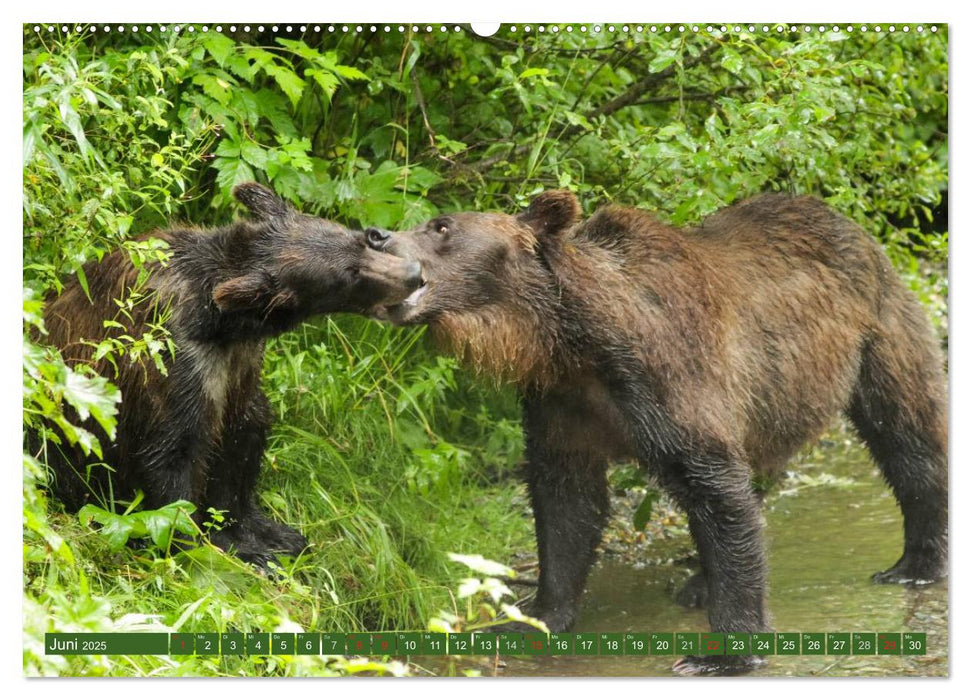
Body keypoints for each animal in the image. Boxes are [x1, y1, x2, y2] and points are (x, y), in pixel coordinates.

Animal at [33, 182, 422, 568]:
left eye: (364, 238)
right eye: (346, 276)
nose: (415, 273)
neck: (224, 324)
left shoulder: (241, 364)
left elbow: (242, 439)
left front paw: (268, 534)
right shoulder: (173, 358)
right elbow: (173, 458)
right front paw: (206, 547)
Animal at [366, 191, 948, 672]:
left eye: (442, 225)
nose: (376, 234)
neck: (575, 340)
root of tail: (843, 219)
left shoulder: (669, 380)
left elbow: (713, 488)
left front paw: (722, 655)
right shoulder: (559, 404)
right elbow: (565, 504)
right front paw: (532, 618)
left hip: (875, 333)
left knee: (907, 434)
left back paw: (915, 563)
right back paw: (698, 583)